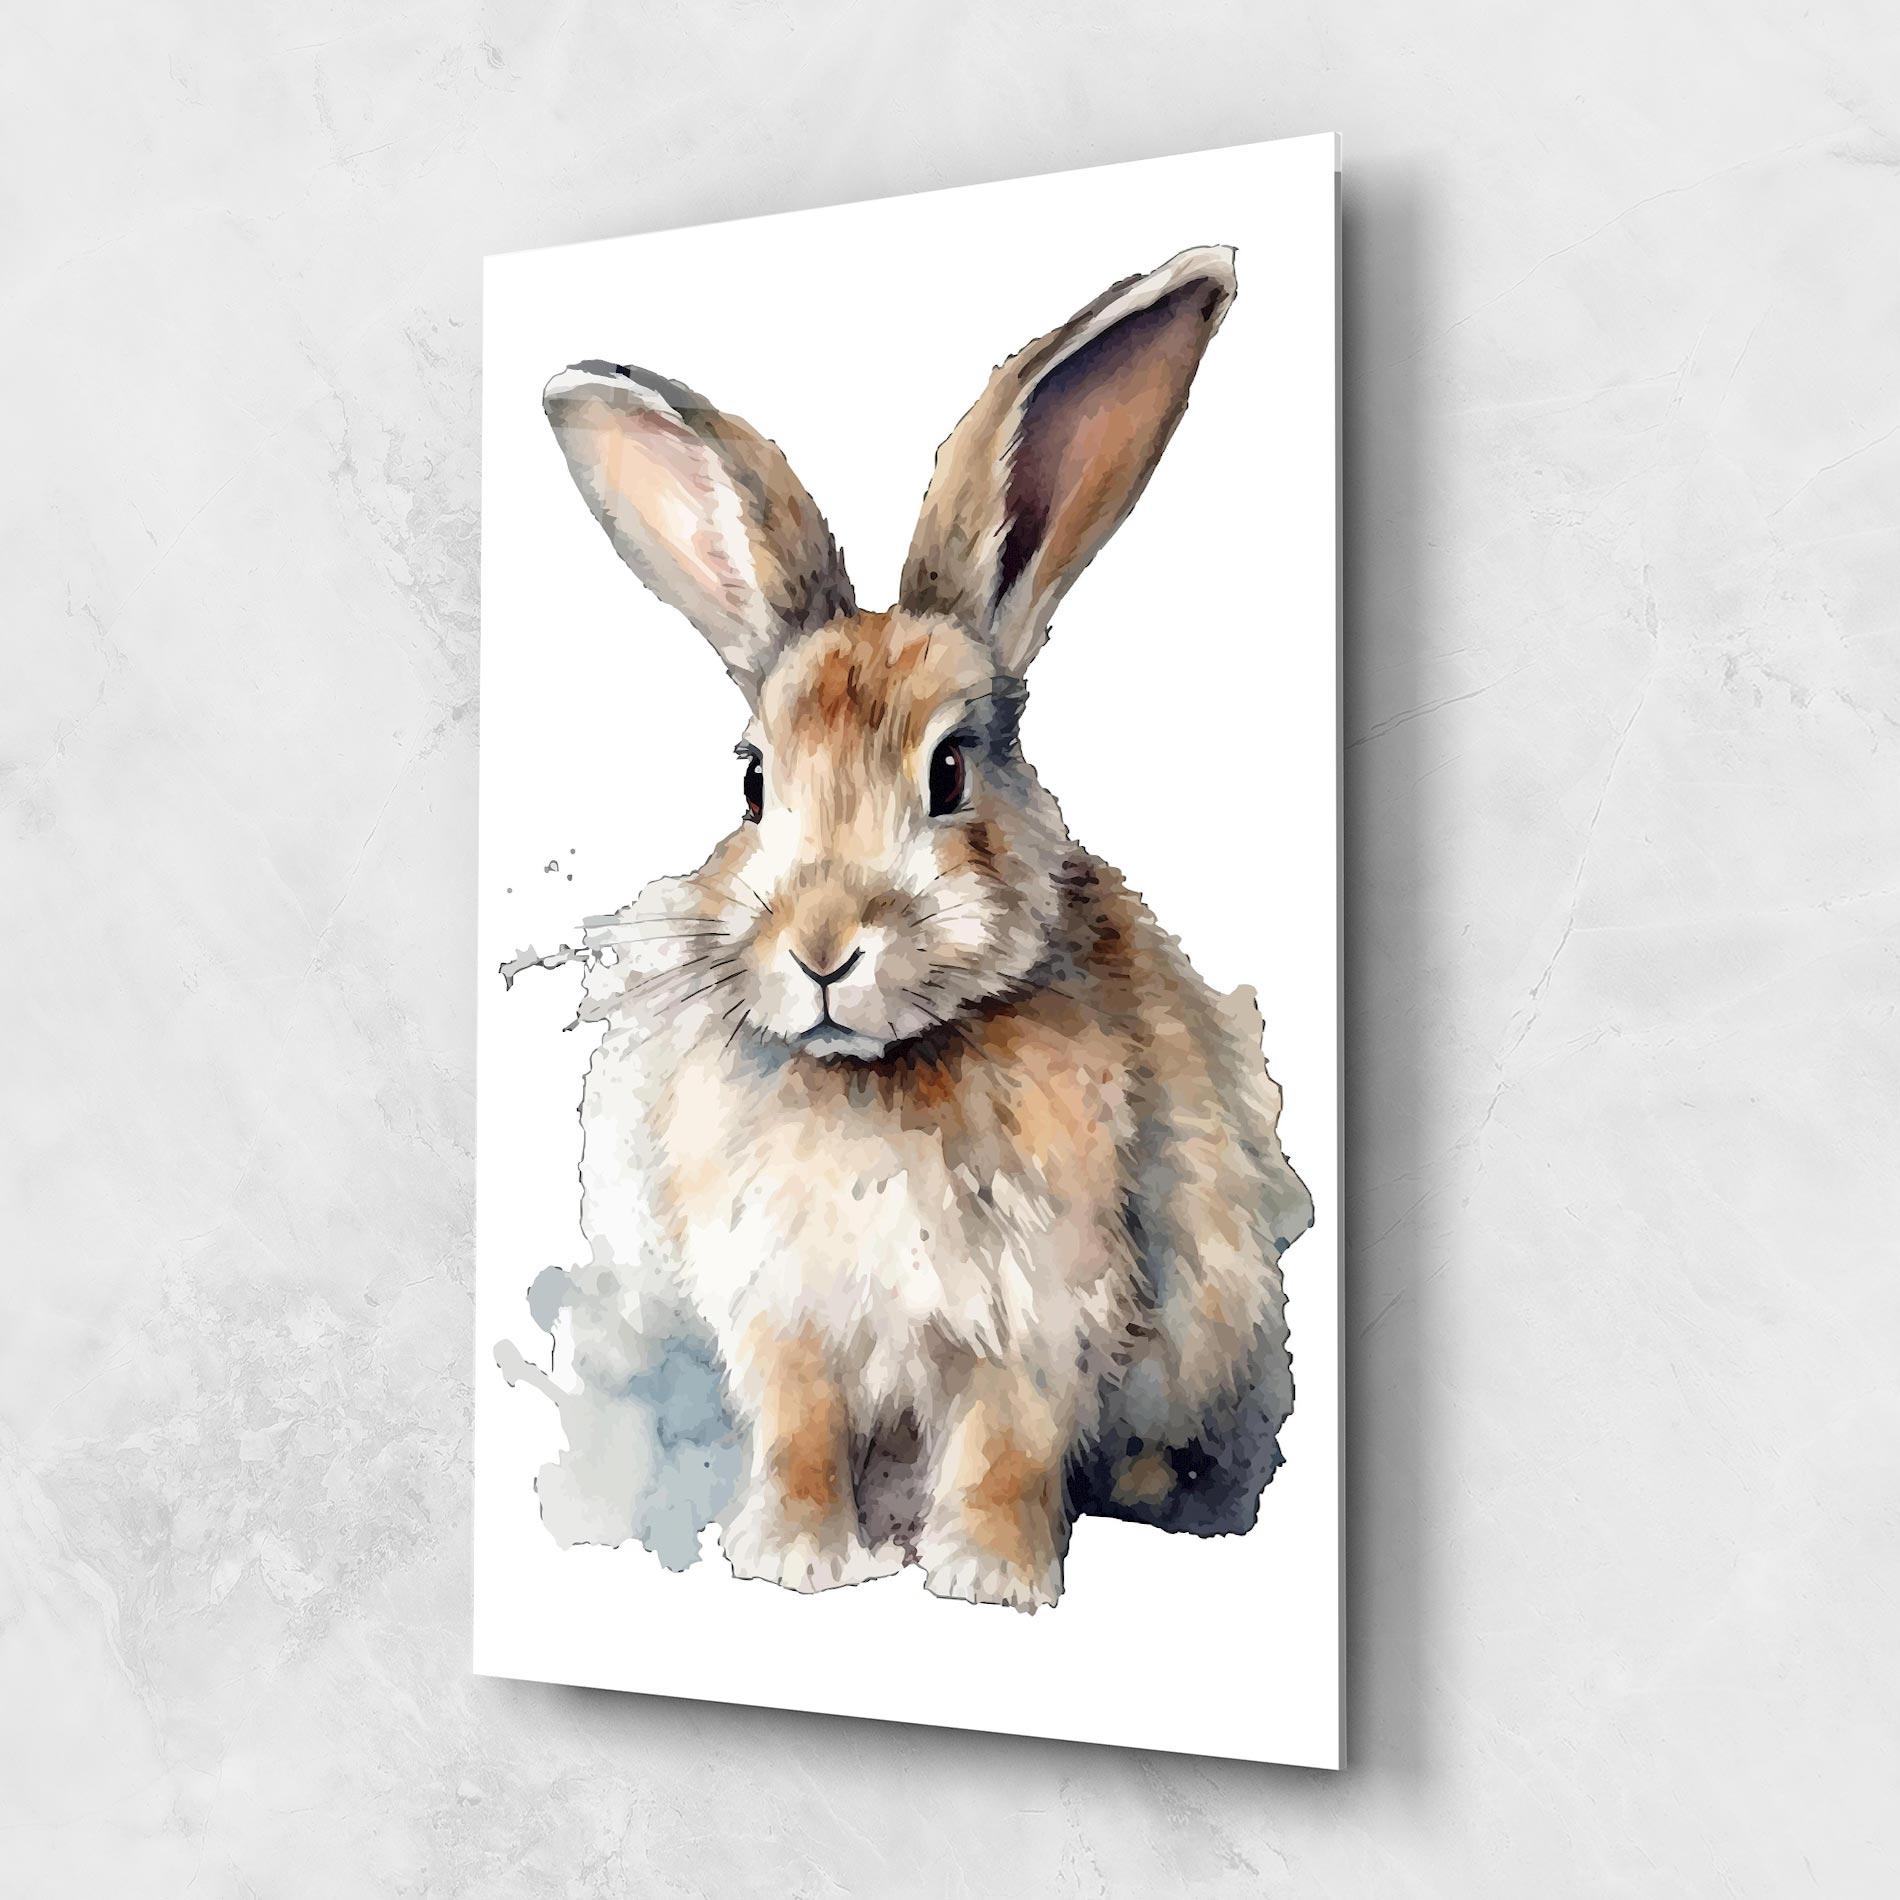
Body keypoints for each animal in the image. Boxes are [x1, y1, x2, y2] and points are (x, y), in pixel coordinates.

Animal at [541, 244, 1314, 1611]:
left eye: (950, 771)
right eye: (753, 782)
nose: (822, 948)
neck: (880, 1070)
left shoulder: (1043, 1311)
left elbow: (1007, 1443)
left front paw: (989, 1581)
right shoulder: (788, 1316)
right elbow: (800, 1433)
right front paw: (794, 1561)